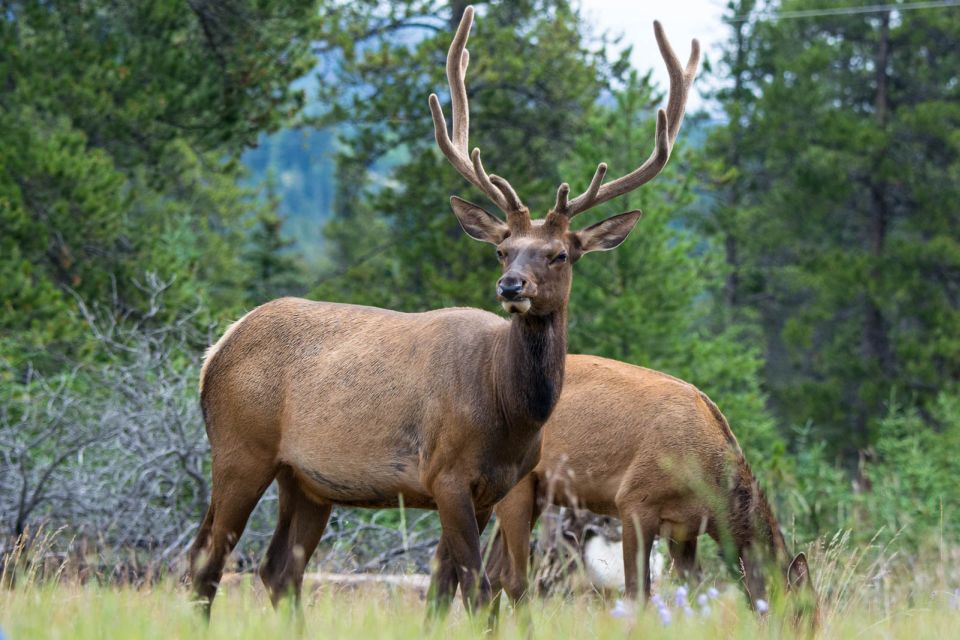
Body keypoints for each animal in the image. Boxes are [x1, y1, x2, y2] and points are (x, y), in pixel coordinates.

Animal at [186, 3, 696, 616]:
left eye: (558, 253)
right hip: (240, 448)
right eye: (502, 248)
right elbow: (474, 589)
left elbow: (448, 589)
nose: (510, 285)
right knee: (206, 560)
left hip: (305, 479)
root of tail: (216, 351)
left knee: (279, 568)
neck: (509, 410)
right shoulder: (446, 475)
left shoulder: (493, 489)